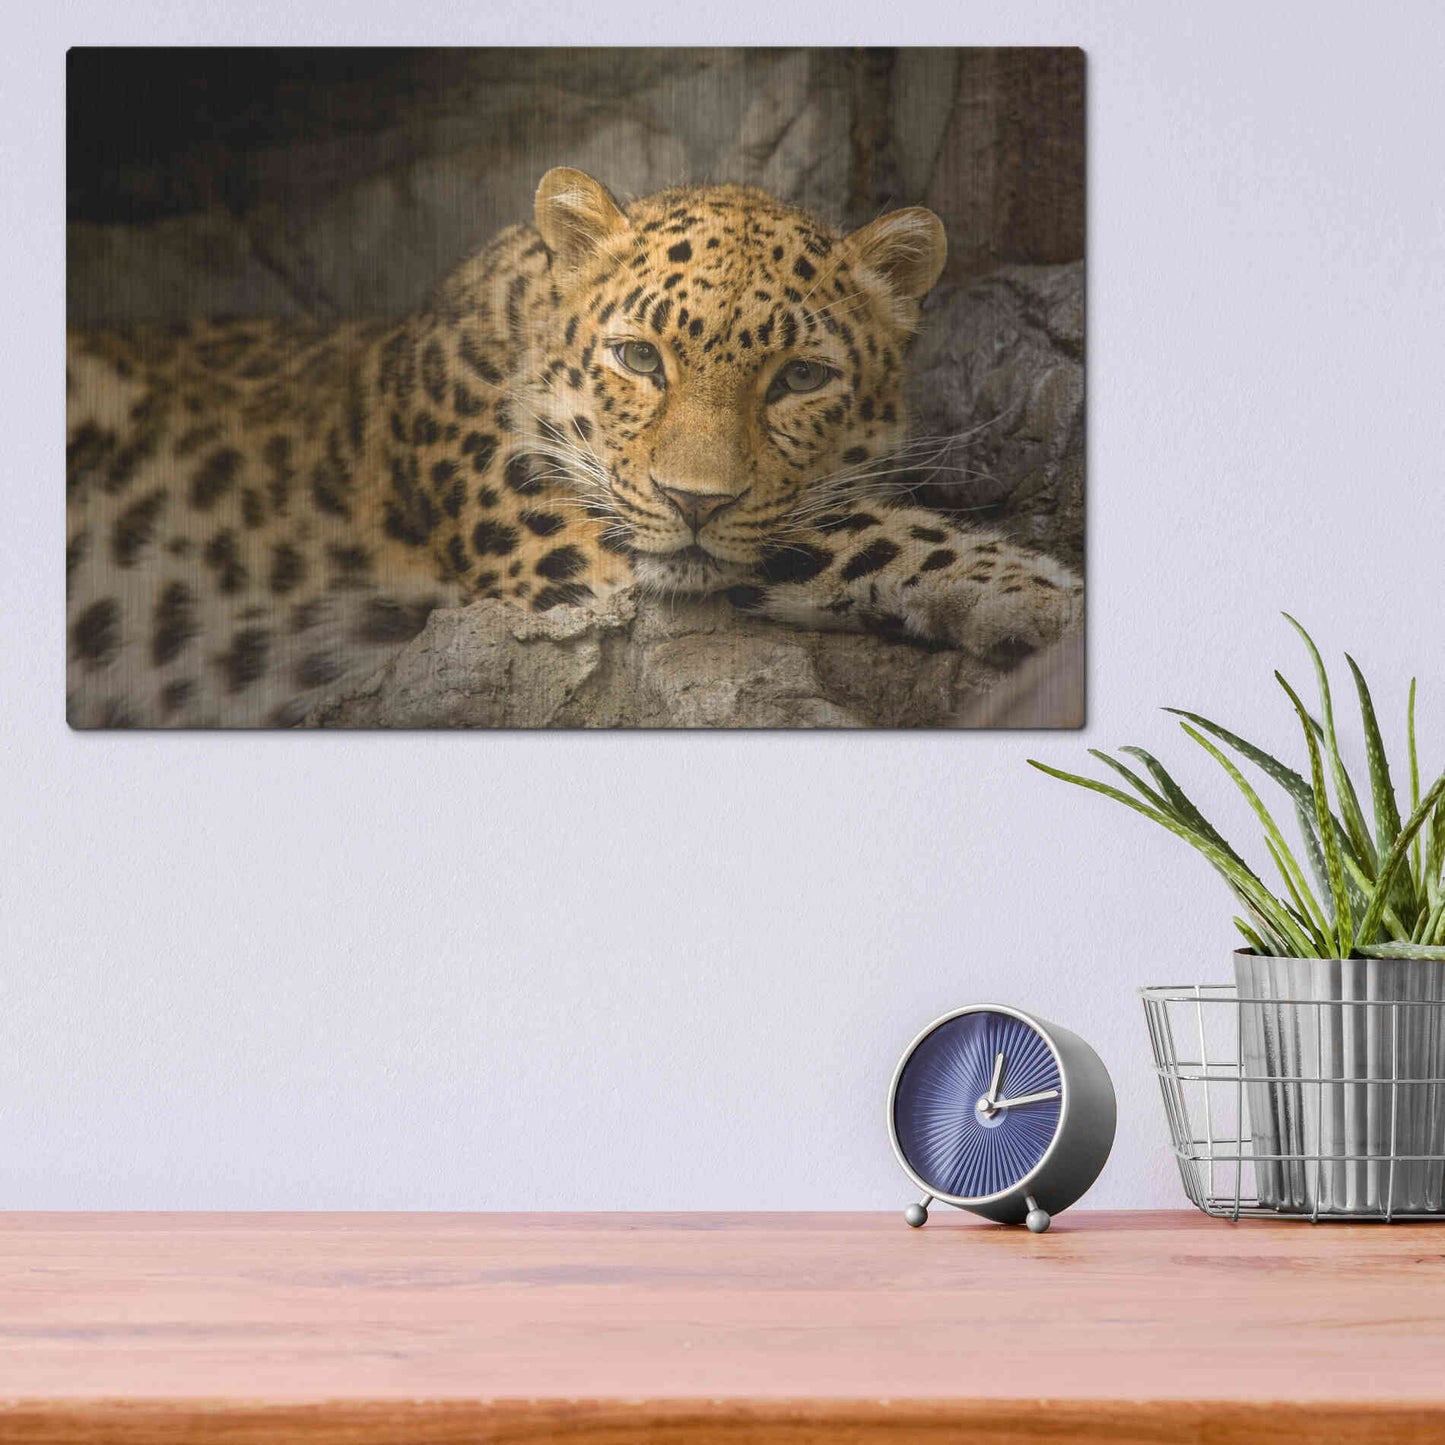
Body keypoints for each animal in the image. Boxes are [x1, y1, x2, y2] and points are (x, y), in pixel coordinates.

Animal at [66, 166, 1083, 727]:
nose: (695, 500)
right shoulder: (572, 551)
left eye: (799, 378)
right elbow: (856, 531)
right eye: (638, 358)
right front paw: (1039, 593)